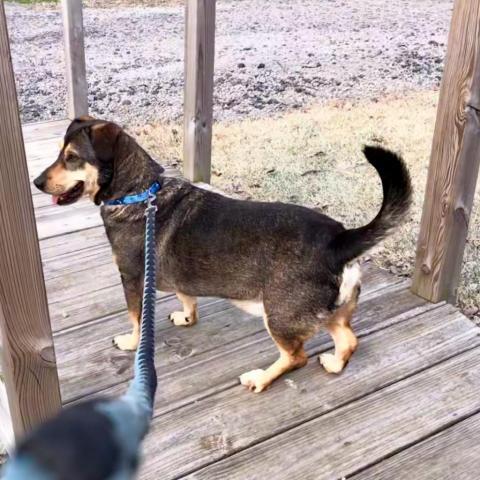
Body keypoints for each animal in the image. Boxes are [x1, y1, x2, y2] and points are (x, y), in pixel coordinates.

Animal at [33, 117, 410, 394]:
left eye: (71, 157)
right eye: (60, 153)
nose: (36, 182)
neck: (139, 192)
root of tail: (339, 239)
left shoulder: (132, 278)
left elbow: (136, 320)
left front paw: (131, 342)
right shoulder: (178, 280)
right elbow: (187, 297)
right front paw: (187, 318)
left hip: (280, 315)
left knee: (296, 356)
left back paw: (261, 378)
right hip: (323, 311)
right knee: (348, 339)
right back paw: (333, 363)